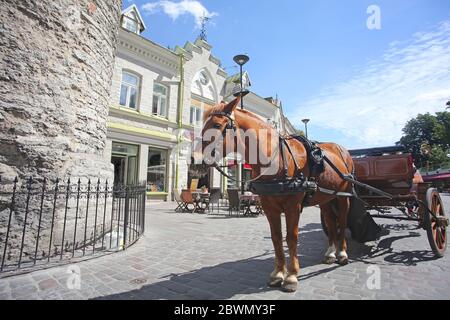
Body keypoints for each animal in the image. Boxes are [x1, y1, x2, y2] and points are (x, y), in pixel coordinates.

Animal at [200, 95, 356, 292]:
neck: (278, 159)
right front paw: (278, 274)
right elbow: (276, 238)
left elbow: (291, 238)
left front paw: (291, 276)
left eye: (217, 125)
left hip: (343, 196)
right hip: (326, 198)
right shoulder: (269, 207)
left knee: (341, 221)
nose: (197, 159)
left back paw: (342, 253)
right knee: (330, 222)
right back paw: (330, 253)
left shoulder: (293, 207)